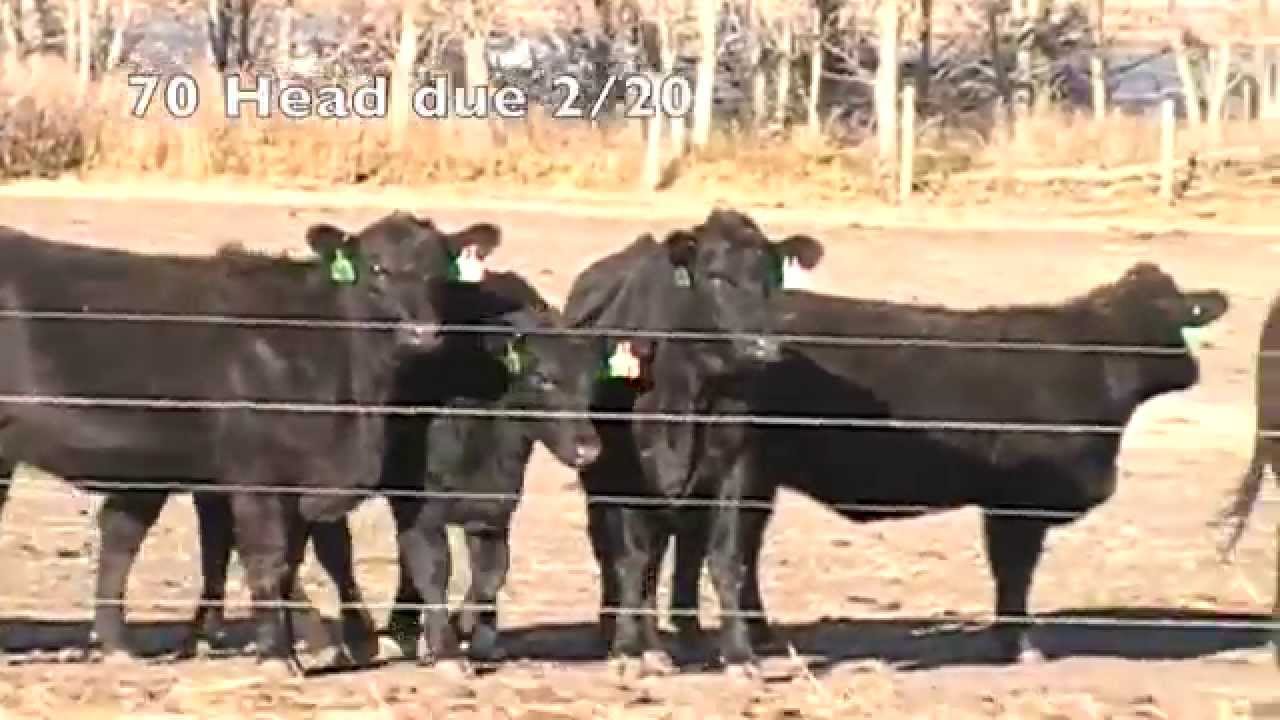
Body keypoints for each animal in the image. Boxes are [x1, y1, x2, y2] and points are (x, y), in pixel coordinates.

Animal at [0, 212, 500, 674]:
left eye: (440, 272)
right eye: (376, 268)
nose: (423, 333)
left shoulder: (297, 487)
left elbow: (299, 562)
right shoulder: (256, 477)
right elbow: (268, 560)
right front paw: (279, 655)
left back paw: (118, 647)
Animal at [562, 208, 824, 678]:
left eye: (773, 277)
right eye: (716, 276)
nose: (764, 346)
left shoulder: (736, 469)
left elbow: (725, 557)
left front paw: (739, 653)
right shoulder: (629, 474)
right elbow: (634, 560)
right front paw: (630, 649)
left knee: (686, 552)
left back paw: (688, 632)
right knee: (617, 553)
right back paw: (617, 631)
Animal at [664, 262, 1228, 664]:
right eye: (1167, 315)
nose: (1193, 370)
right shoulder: (1016, 506)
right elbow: (1014, 575)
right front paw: (1019, 646)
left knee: (706, 545)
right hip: (742, 466)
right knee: (725, 552)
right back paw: (742, 650)